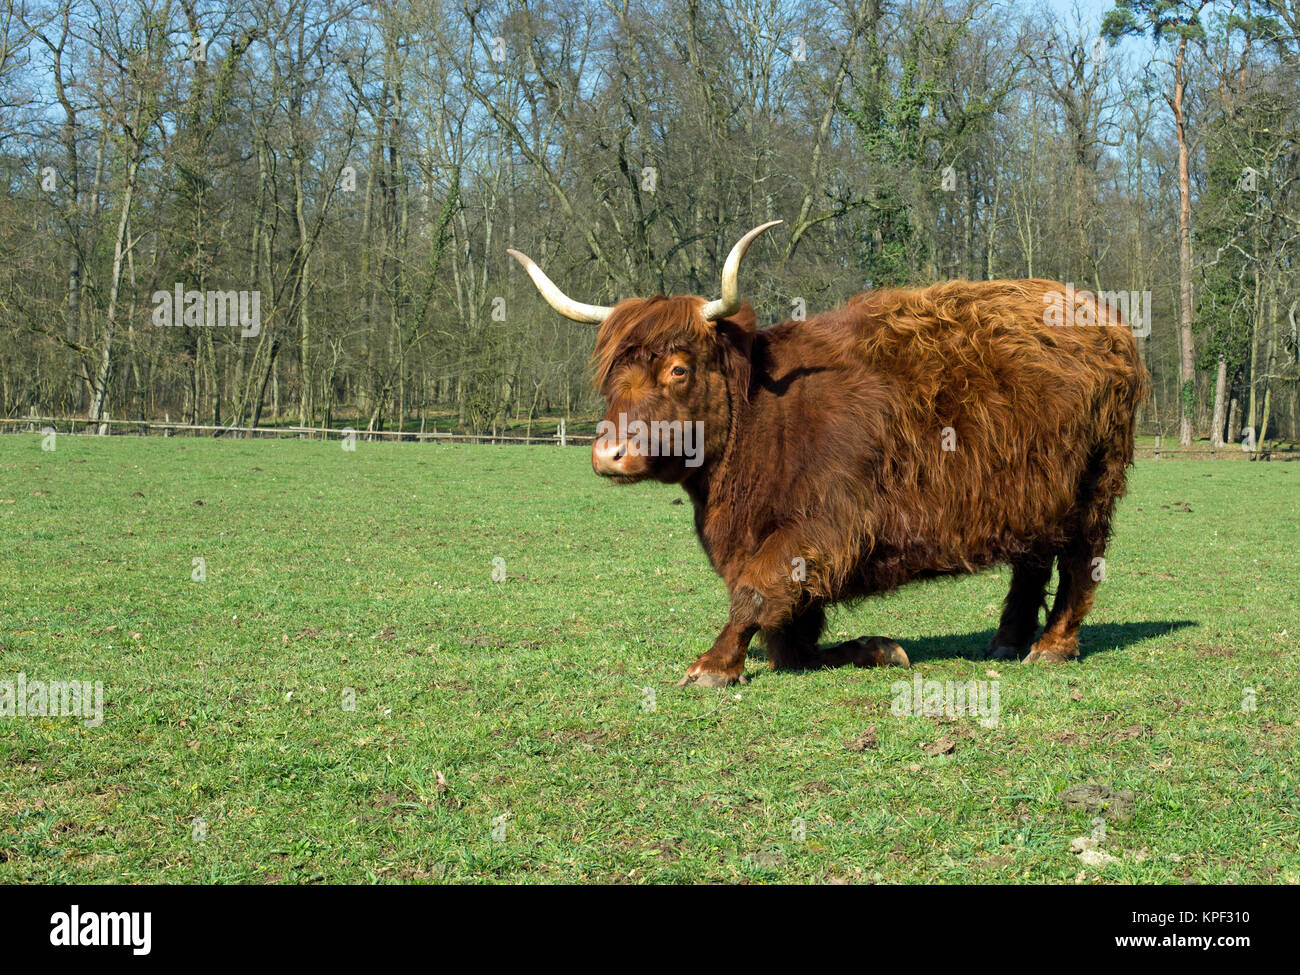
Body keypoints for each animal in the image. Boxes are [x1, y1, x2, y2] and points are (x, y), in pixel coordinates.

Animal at [508, 221, 1150, 687]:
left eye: (678, 369)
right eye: (611, 377)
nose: (609, 453)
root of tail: (1105, 318)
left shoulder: (826, 523)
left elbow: (757, 592)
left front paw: (712, 665)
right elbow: (789, 638)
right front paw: (876, 649)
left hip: (1092, 484)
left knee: (1080, 562)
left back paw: (1051, 647)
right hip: (1033, 491)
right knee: (1032, 560)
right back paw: (1007, 640)